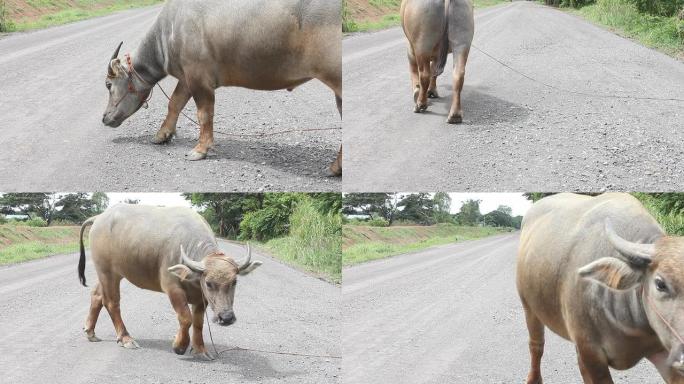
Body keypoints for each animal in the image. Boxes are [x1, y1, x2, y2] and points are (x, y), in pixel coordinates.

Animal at [77, 206, 262, 358]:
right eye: (209, 283)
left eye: (235, 281)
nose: (227, 318)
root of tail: (99, 217)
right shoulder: (172, 288)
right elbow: (186, 317)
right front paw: (179, 346)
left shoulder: (200, 297)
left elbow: (198, 322)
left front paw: (200, 349)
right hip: (107, 272)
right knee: (111, 302)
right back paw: (125, 338)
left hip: (111, 273)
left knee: (97, 295)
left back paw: (90, 332)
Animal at [101, 0, 342, 176]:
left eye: (108, 84)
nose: (104, 117)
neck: (170, 32)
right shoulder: (187, 78)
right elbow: (174, 104)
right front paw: (162, 135)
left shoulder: (199, 79)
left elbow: (204, 114)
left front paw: (200, 149)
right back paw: (335, 167)